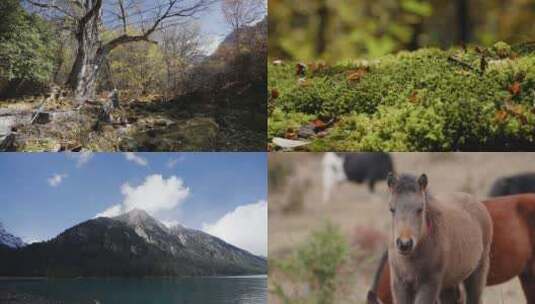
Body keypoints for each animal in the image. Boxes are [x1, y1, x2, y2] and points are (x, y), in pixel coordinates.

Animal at [386, 173, 494, 304]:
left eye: (420, 208)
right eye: (391, 209)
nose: (404, 244)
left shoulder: (429, 284)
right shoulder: (400, 285)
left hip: (477, 272)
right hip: (448, 285)